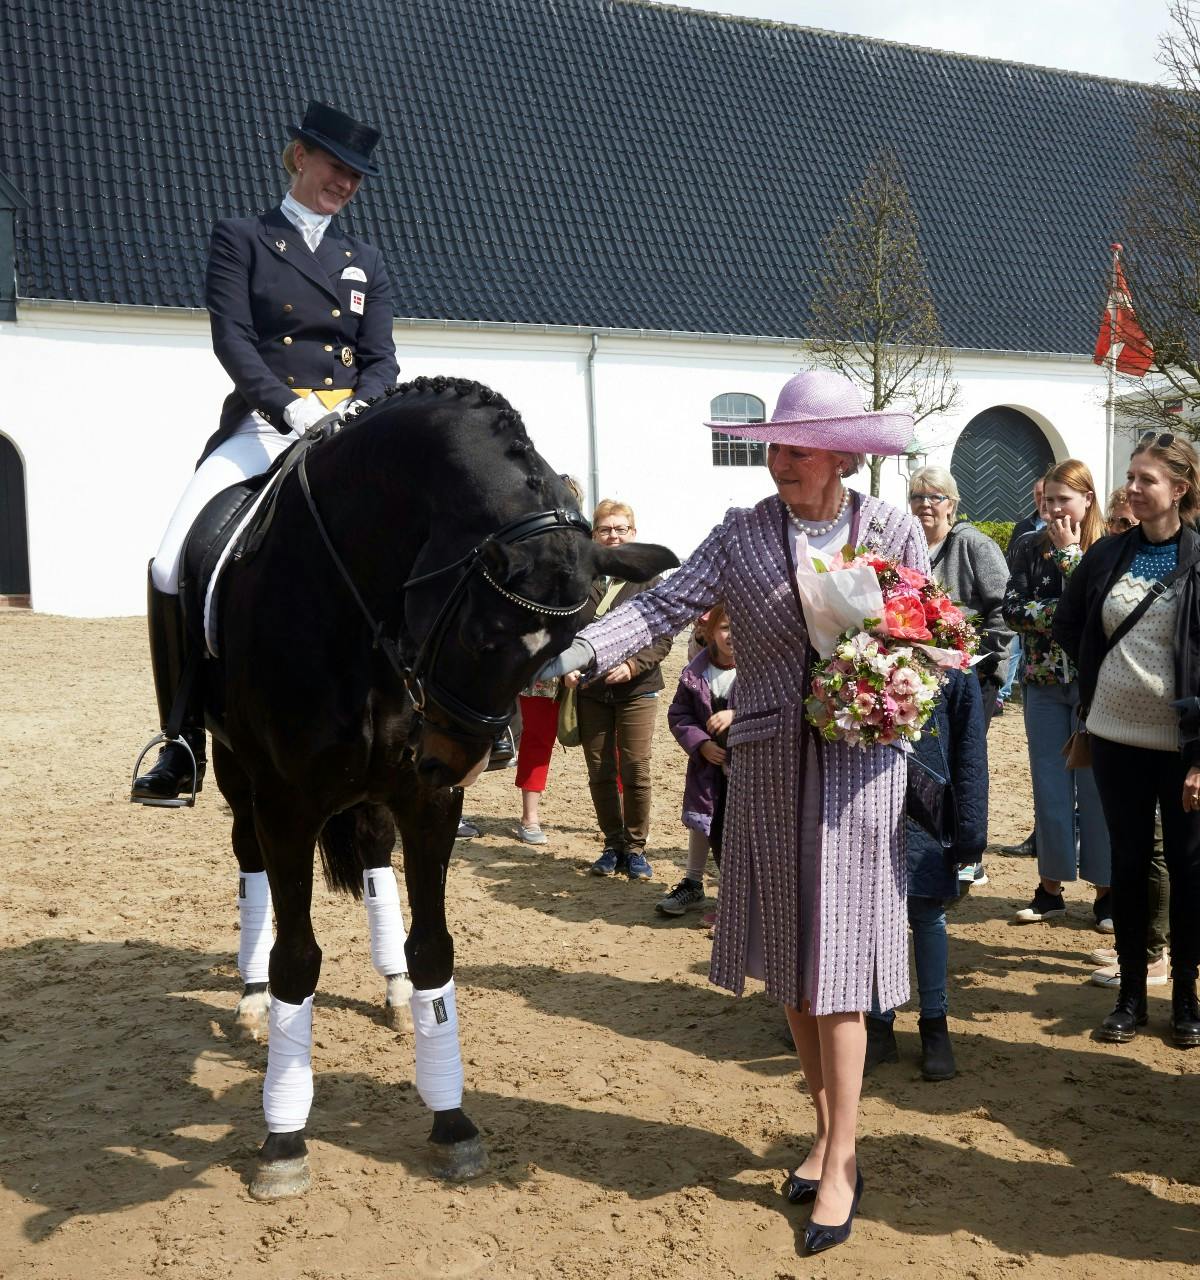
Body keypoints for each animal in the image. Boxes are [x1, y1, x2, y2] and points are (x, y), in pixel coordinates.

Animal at [194, 376, 675, 1198]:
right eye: (483, 634)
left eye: (567, 642)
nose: (456, 759)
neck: (352, 595)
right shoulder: (286, 803)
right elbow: (297, 959)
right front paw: (283, 1140)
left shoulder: (426, 804)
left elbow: (433, 950)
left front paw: (451, 1120)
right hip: (238, 776)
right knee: (247, 862)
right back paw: (253, 1001)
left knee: (374, 858)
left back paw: (390, 992)